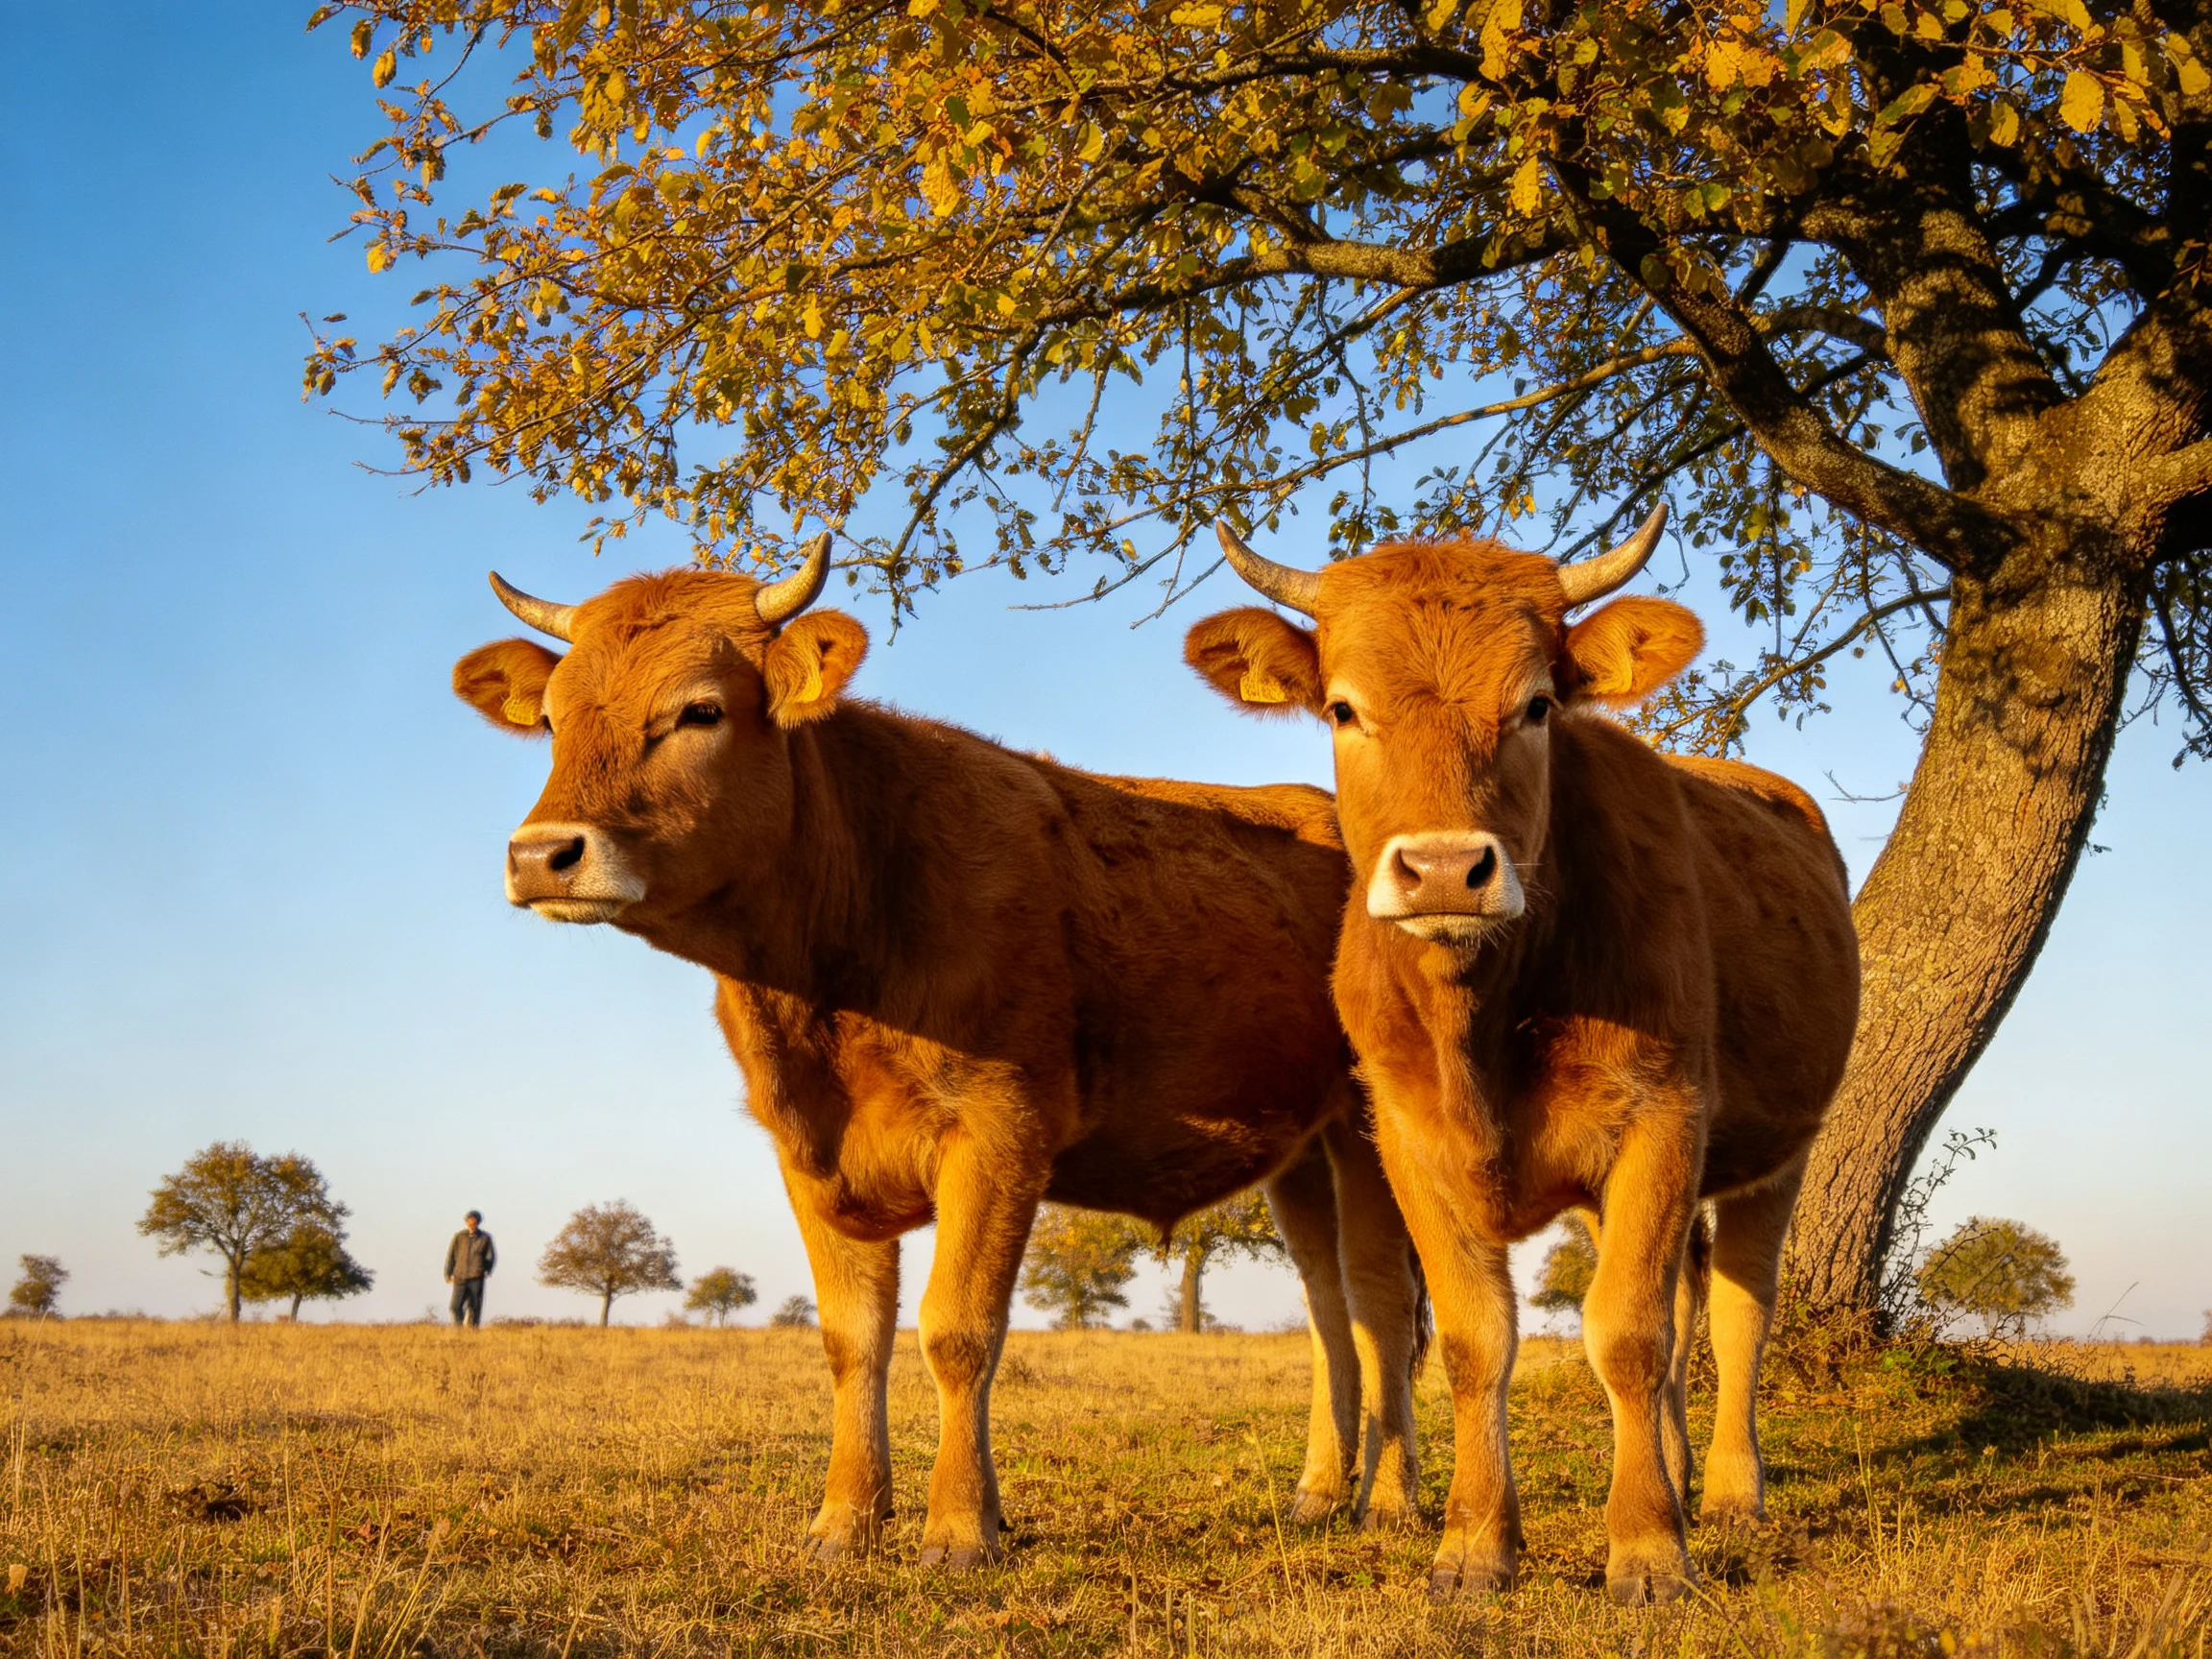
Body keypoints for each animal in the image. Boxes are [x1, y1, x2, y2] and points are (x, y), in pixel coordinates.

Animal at [450, 538, 1427, 1567]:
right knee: (1328, 1309)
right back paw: (1319, 1493)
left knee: (1381, 1303)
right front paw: (844, 1521)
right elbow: (852, 1340)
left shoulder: (1001, 1129)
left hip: (1370, 1123)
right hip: (1298, 1149)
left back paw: (1390, 1500)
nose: (542, 854)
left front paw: (959, 1527)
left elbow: (958, 1330)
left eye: (700, 710)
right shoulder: (809, 1151)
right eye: (551, 720)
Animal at [1182, 507, 1860, 1603]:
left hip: (1778, 1153)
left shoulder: (1665, 1118)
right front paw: (1473, 1543)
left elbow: (1626, 1335)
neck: (1482, 1021)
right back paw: (1673, 1469)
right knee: (1683, 1312)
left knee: (1733, 1312)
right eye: (1342, 709)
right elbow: (1476, 1340)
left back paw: (1724, 1494)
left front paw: (1648, 1548)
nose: (1444, 868)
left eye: (1537, 704)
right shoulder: (1407, 1141)